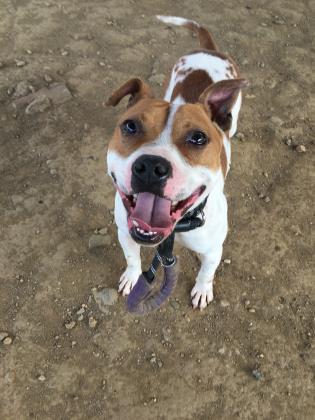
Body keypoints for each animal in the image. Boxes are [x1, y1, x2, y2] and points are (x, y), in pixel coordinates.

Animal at [107, 15, 249, 308]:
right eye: (130, 126)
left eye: (198, 138)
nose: (151, 167)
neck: (175, 230)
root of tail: (209, 50)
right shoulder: (125, 232)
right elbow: (132, 258)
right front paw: (132, 276)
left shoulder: (213, 250)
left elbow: (206, 272)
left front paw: (202, 290)